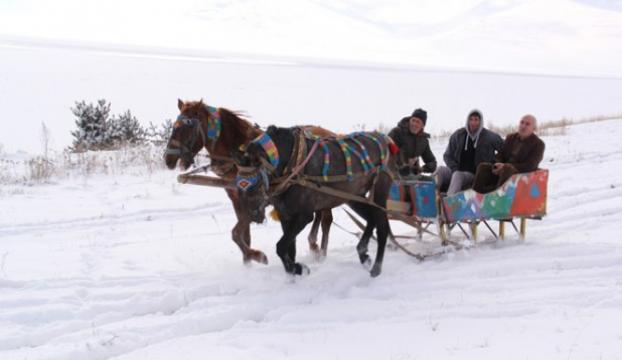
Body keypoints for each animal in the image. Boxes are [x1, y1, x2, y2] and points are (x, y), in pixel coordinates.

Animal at [162, 98, 336, 264]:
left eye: (186, 127)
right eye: (174, 127)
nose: (168, 159)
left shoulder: (258, 199)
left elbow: (236, 232)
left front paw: (257, 256)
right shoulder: (237, 199)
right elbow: (243, 234)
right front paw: (248, 260)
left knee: (326, 219)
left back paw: (320, 252)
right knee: (320, 214)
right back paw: (314, 246)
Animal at [236, 125, 398, 278]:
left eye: (255, 187)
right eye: (237, 189)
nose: (253, 215)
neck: (292, 163)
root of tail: (386, 139)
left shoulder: (304, 216)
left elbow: (281, 247)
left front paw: (299, 269)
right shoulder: (285, 215)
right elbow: (289, 249)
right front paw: (293, 274)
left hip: (380, 191)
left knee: (382, 227)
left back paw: (376, 268)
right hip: (354, 197)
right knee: (372, 219)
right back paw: (363, 254)